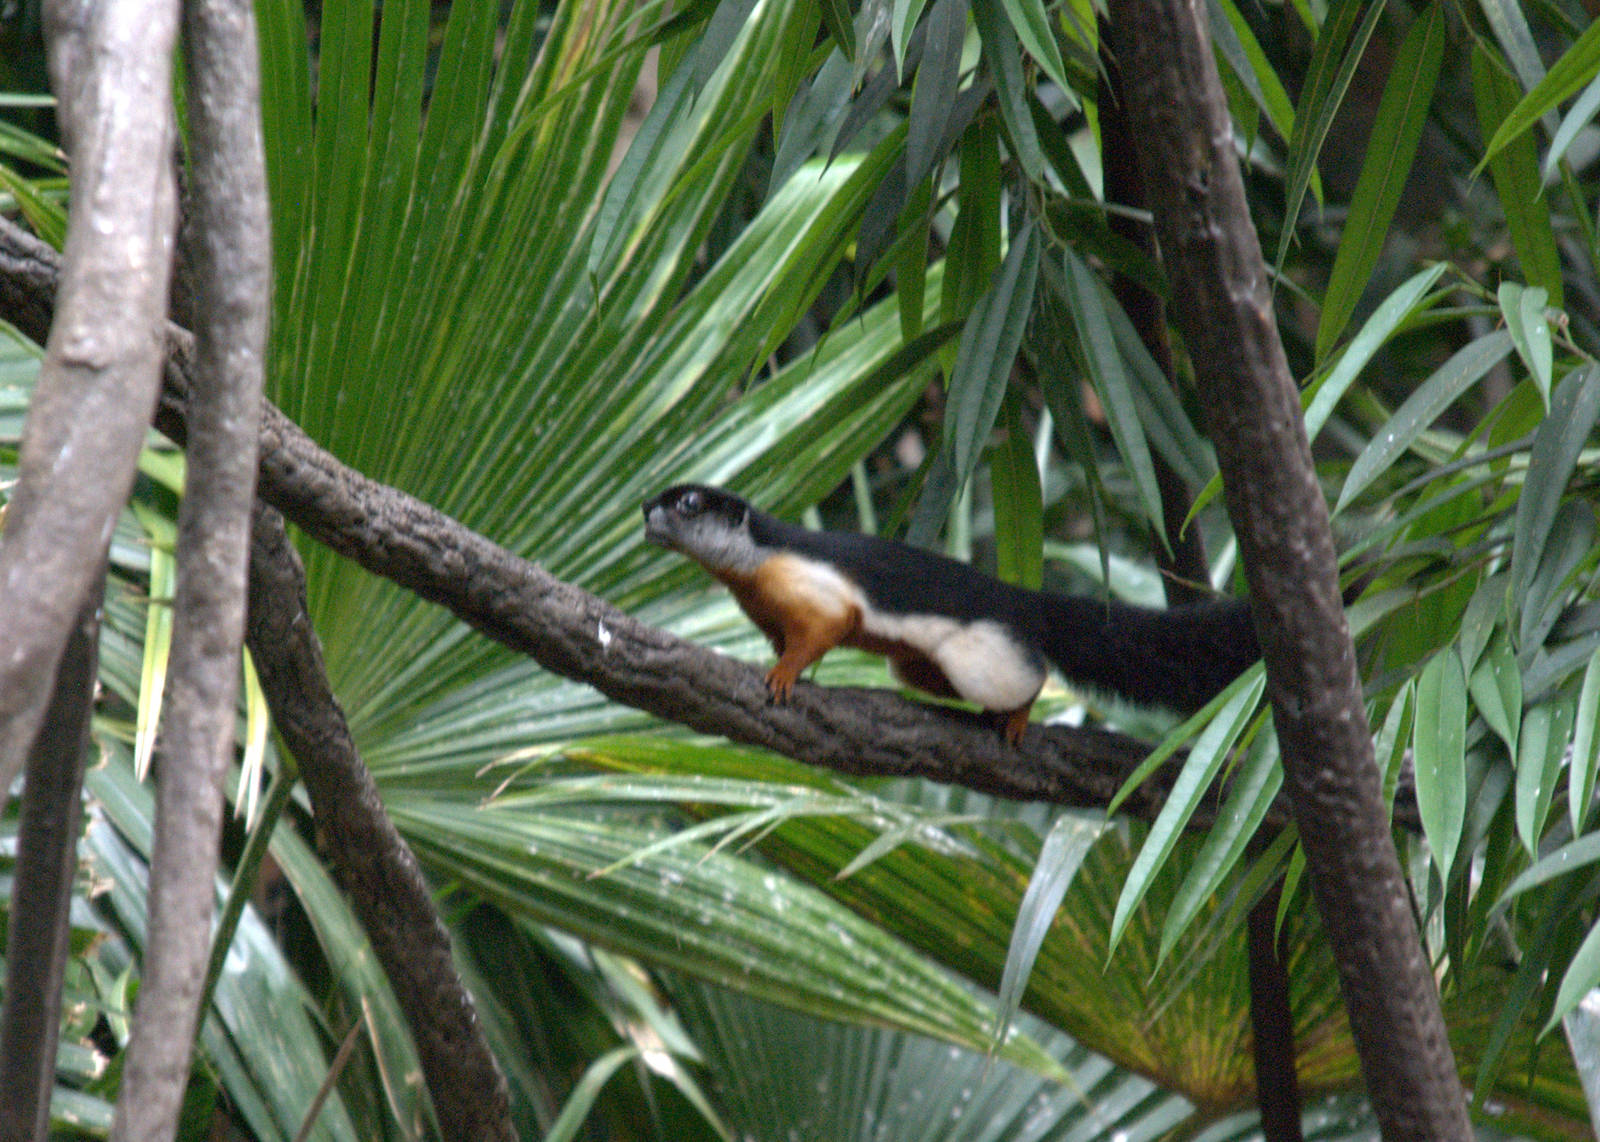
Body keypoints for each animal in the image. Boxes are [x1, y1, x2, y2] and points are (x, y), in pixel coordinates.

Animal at [643, 484, 1259, 742]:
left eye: (689, 504)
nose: (645, 513)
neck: (751, 566)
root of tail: (1024, 604)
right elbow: (784, 639)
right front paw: (781, 664)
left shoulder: (814, 588)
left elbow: (823, 630)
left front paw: (785, 674)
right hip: (920, 666)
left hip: (980, 655)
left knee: (1031, 676)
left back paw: (1016, 718)